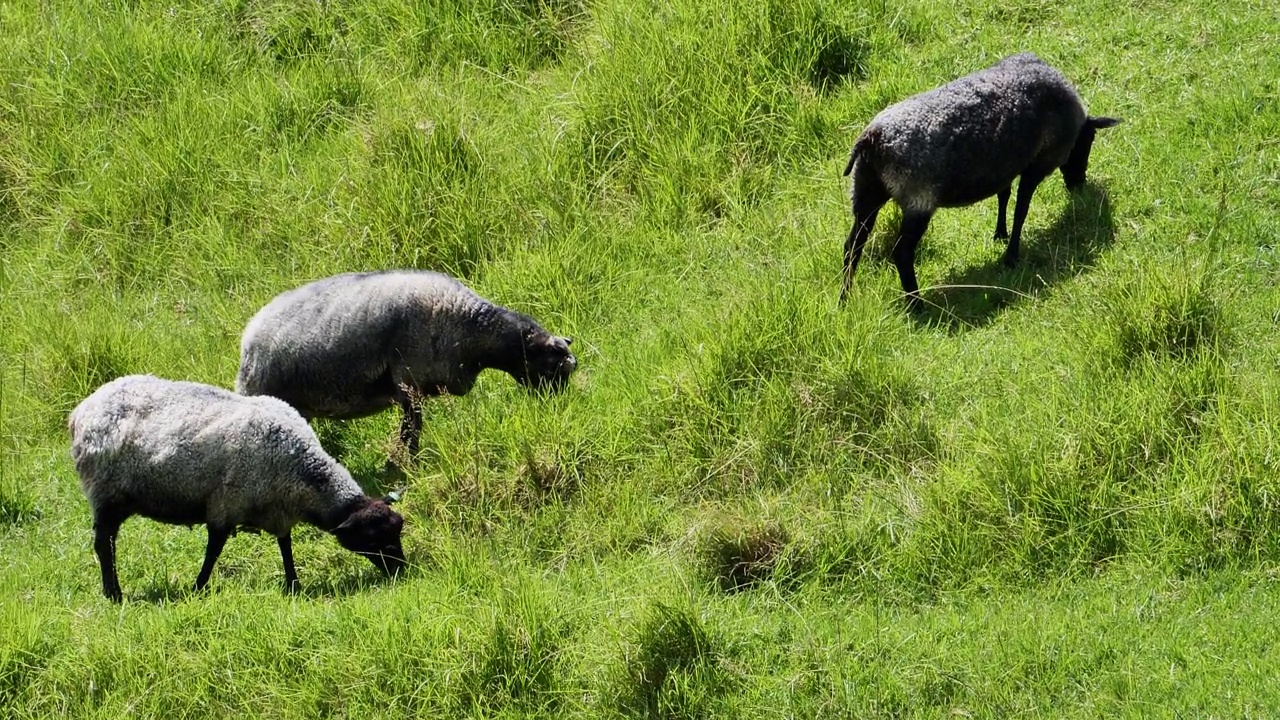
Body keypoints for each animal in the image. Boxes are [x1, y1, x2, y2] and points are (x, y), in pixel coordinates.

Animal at [67, 368, 404, 599]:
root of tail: (82, 410)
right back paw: (114, 594)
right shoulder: (225, 506)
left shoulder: (279, 511)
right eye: (372, 538)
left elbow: (286, 547)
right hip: (105, 493)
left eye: (397, 530)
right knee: (104, 544)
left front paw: (293, 584)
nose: (402, 569)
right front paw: (198, 587)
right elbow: (213, 551)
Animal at [236, 269, 581, 453]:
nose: (555, 409)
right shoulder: (409, 383)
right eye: (554, 368)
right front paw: (408, 463)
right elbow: (411, 429)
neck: (470, 327)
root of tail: (247, 344)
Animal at [839, 52, 1121, 304]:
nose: (1078, 184)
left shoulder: (1004, 167)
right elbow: (1021, 209)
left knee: (852, 247)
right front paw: (1011, 256)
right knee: (901, 254)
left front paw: (1000, 235)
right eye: (1088, 143)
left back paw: (844, 299)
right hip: (917, 198)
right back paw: (916, 305)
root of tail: (872, 138)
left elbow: (1004, 196)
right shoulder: (1036, 165)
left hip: (865, 191)